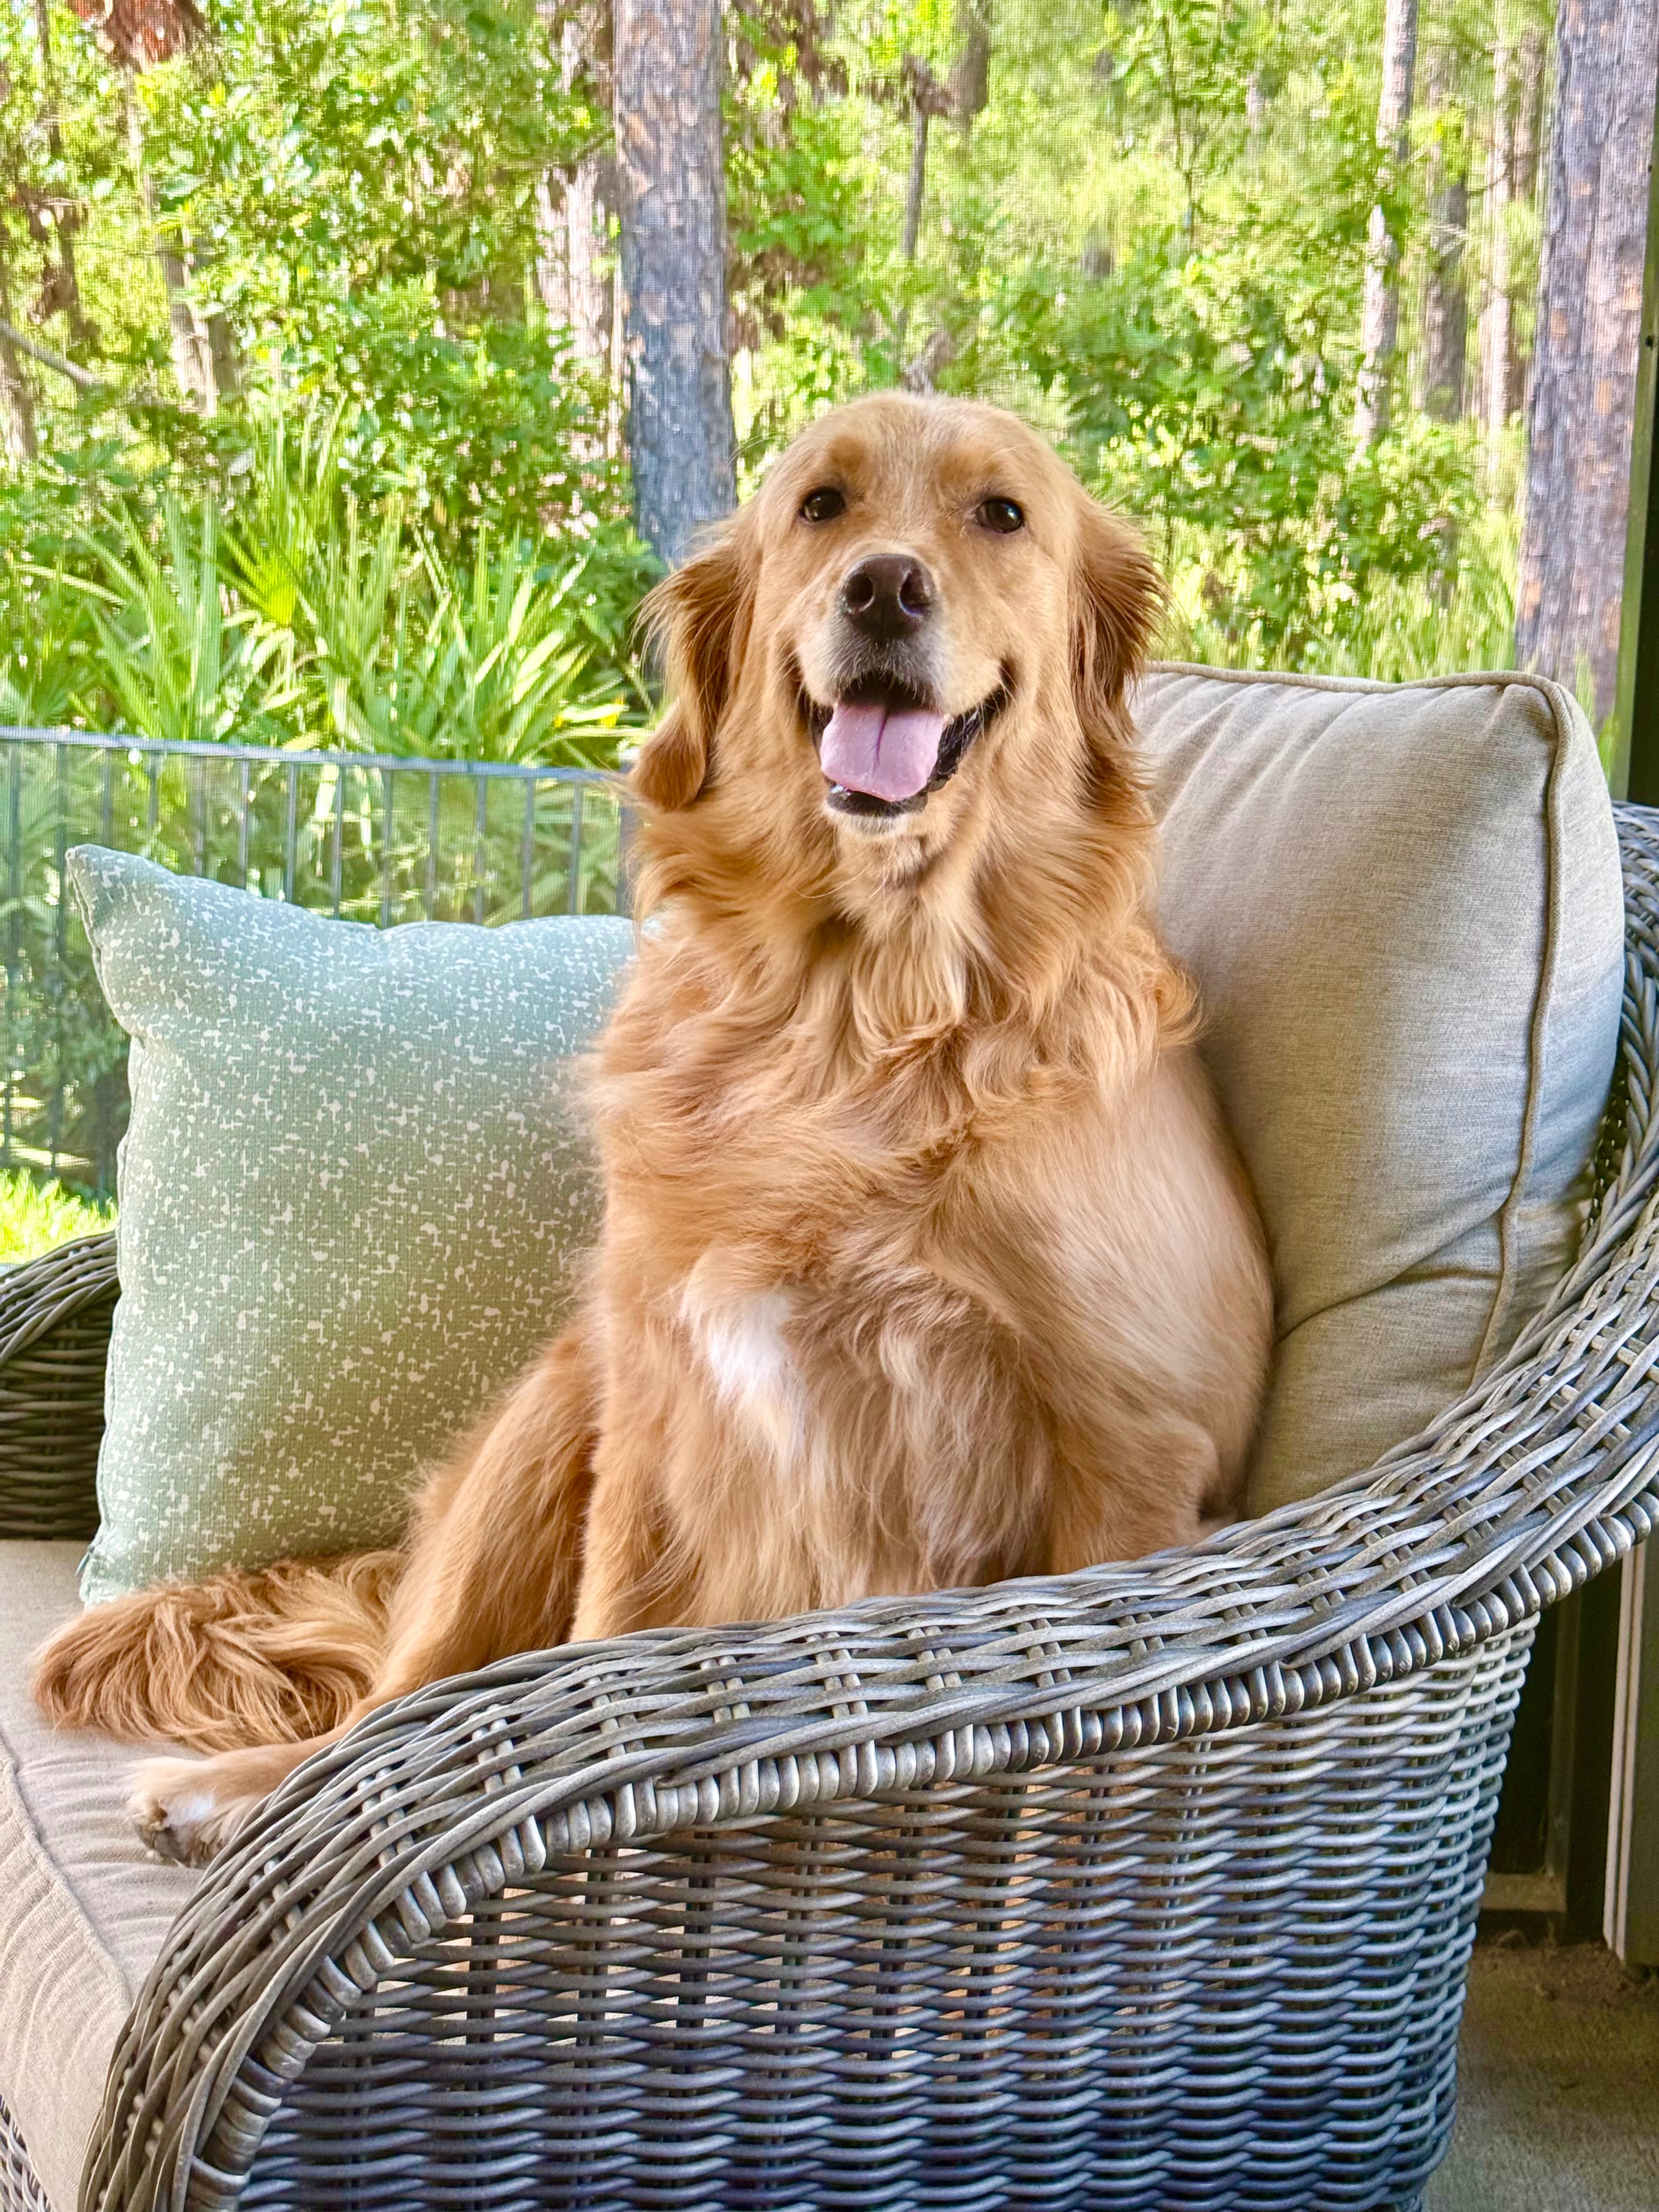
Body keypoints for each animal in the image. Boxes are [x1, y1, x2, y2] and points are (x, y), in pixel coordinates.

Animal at [33, 393, 1273, 1864]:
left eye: (1003, 516)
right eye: (821, 505)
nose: (886, 588)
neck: (855, 1016)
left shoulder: (1131, 1449)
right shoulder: (660, 1408)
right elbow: (595, 1646)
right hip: (553, 1410)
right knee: (386, 1704)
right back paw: (236, 1795)